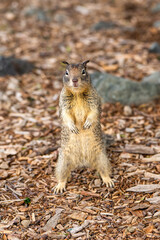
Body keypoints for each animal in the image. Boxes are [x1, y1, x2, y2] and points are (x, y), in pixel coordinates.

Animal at [53, 60, 114, 193]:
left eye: (83, 71)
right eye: (66, 72)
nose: (75, 80)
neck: (77, 94)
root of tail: (83, 160)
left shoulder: (95, 100)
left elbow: (94, 112)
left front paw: (87, 123)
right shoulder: (63, 102)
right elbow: (65, 116)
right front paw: (72, 127)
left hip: (102, 158)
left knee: (104, 171)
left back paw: (108, 180)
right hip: (63, 162)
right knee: (62, 175)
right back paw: (59, 186)